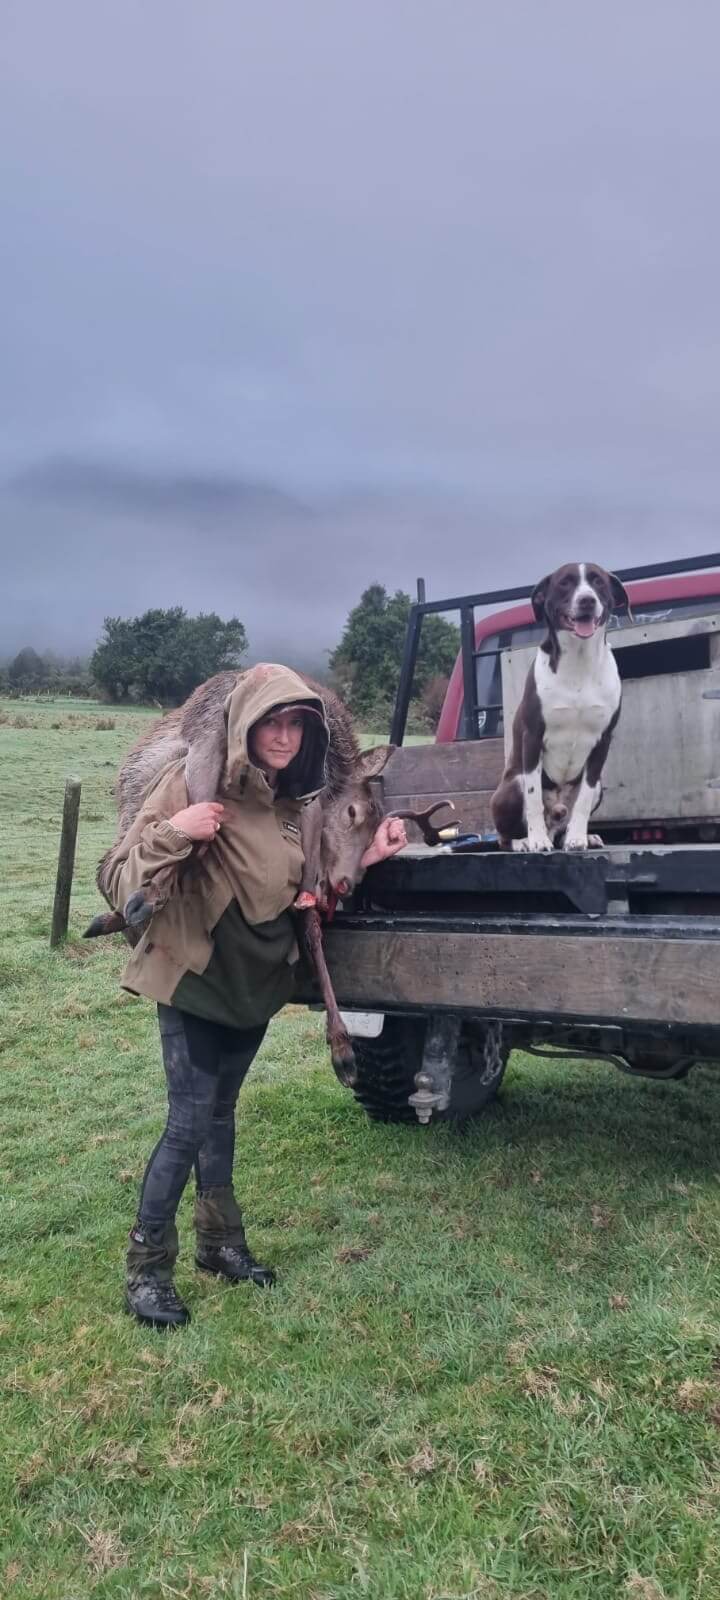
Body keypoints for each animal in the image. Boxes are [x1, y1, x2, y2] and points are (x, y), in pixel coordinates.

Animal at [489, 569, 630, 857]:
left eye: (598, 581)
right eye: (565, 582)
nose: (587, 600)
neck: (579, 661)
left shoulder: (603, 741)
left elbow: (584, 799)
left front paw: (577, 838)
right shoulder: (532, 737)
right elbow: (533, 798)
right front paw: (536, 841)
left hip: (597, 789)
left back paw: (582, 836)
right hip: (513, 783)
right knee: (505, 837)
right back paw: (523, 841)